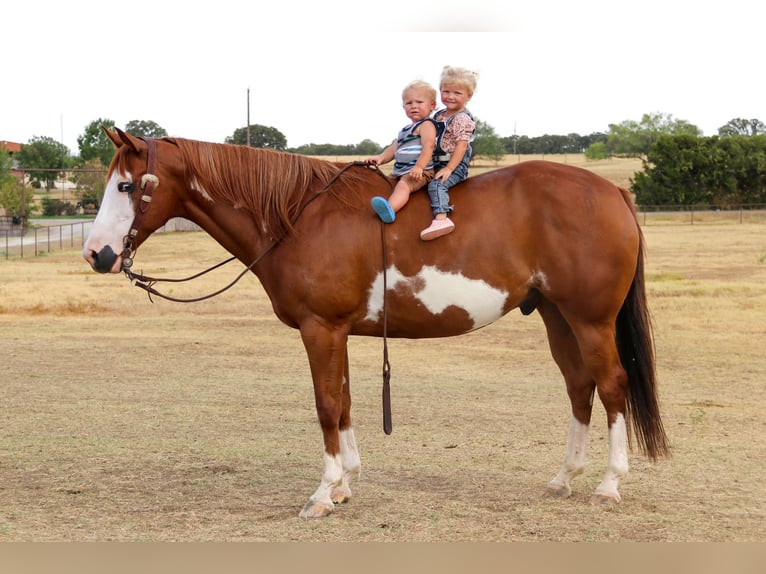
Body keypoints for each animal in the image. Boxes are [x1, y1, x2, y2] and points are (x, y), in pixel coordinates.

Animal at [84, 128, 668, 520]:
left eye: (126, 187)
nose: (97, 254)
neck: (298, 218)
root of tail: (613, 192)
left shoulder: (320, 329)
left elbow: (325, 404)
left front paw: (323, 493)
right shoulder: (335, 332)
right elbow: (343, 402)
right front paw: (345, 484)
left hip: (590, 320)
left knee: (611, 386)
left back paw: (609, 484)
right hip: (557, 316)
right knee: (579, 387)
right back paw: (564, 478)